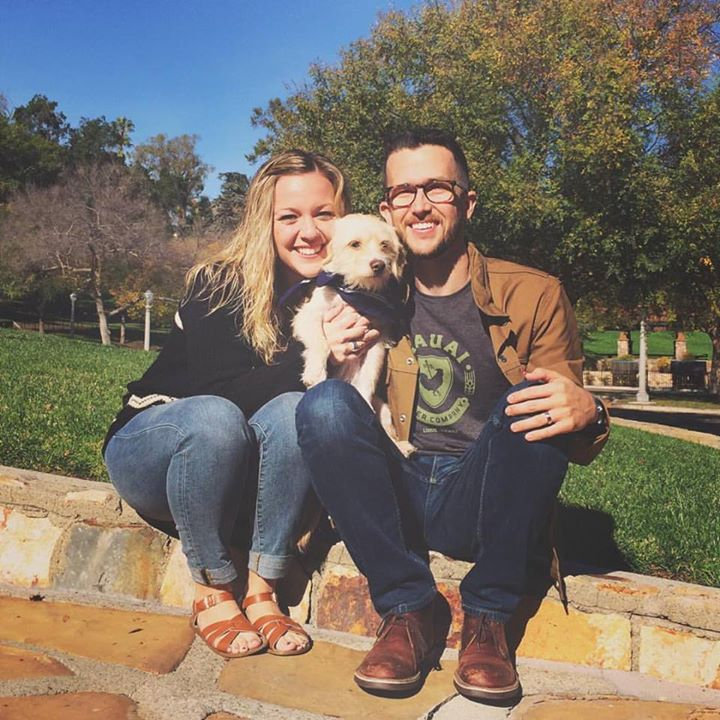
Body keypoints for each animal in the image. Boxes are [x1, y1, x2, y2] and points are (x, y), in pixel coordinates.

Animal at [292, 213, 415, 458]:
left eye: (385, 245)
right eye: (355, 244)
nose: (378, 265)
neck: (356, 292)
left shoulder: (377, 340)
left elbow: (368, 380)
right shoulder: (307, 316)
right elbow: (322, 343)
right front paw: (315, 372)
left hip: (384, 409)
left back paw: (403, 447)